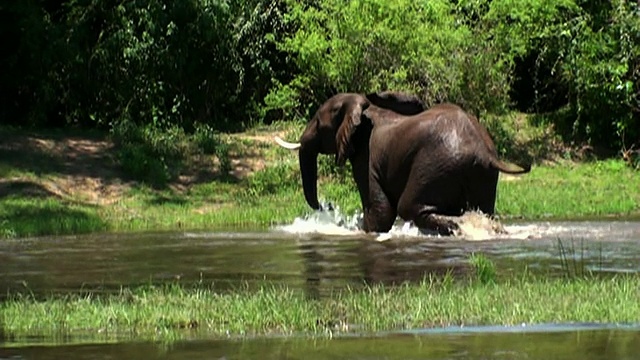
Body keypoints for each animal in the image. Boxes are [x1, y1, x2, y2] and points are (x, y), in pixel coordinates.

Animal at [276, 91, 528, 235]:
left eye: (318, 124)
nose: (326, 206)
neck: (366, 110)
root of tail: (485, 152)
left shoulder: (366, 158)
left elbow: (381, 213)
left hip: (434, 166)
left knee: (410, 206)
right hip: (482, 175)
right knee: (484, 210)